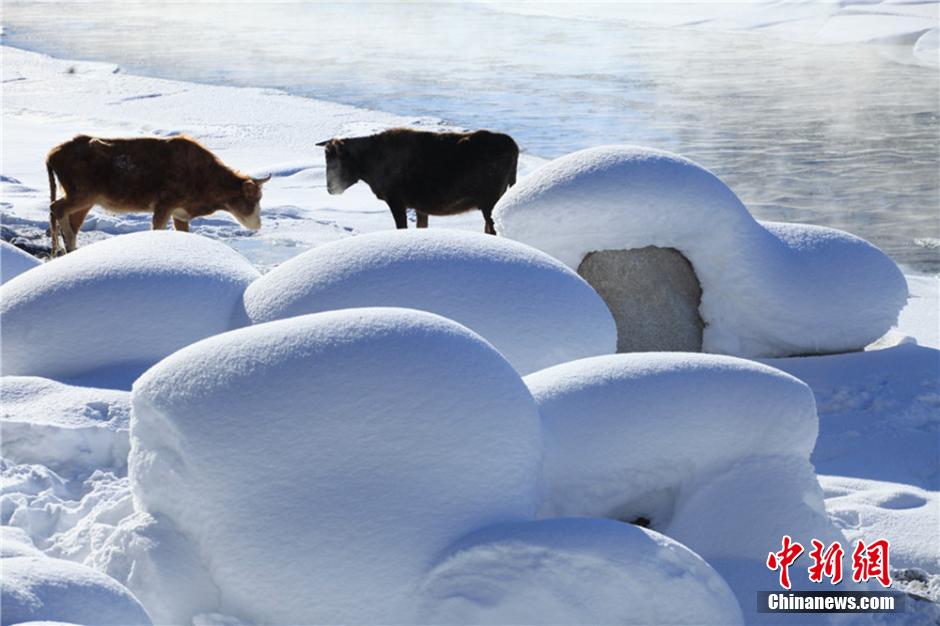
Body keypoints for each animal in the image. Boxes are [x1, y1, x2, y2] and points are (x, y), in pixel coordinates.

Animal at [46, 135, 270, 255]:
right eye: (252, 199)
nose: (258, 224)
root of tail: (51, 155)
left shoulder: (180, 213)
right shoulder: (165, 203)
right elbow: (157, 228)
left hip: (86, 199)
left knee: (68, 220)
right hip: (83, 193)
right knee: (56, 207)